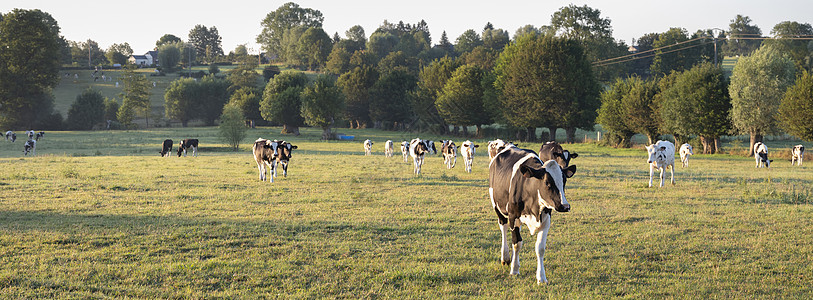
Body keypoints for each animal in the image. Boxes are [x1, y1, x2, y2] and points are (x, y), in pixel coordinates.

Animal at [486, 145, 576, 284]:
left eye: (564, 181)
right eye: (547, 183)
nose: (565, 206)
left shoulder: (546, 220)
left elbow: (540, 248)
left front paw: (541, 277)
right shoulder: (513, 217)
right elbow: (516, 243)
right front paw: (514, 270)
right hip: (497, 206)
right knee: (503, 227)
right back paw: (505, 257)